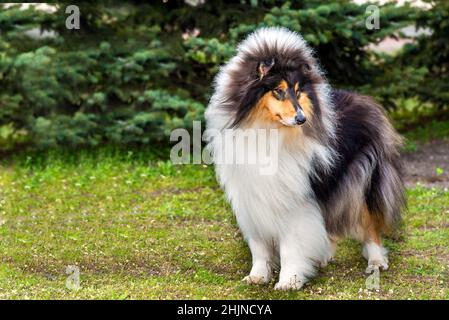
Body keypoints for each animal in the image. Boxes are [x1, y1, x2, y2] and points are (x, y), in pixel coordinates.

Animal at [205, 27, 404, 290]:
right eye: (278, 91)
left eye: (298, 91)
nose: (302, 119)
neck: (267, 130)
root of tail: (364, 100)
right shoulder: (252, 196)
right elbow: (259, 246)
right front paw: (257, 276)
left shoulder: (295, 199)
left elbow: (291, 245)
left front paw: (289, 280)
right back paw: (324, 256)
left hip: (361, 181)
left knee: (369, 221)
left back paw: (376, 260)